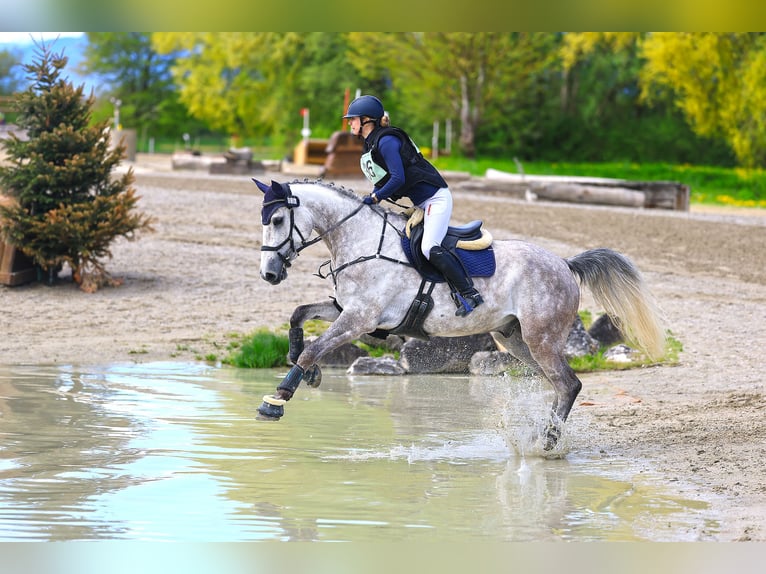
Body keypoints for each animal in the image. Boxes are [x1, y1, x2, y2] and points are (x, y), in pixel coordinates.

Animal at [253, 178, 665, 450]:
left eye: (277, 221)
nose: (269, 274)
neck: (363, 242)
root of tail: (564, 264)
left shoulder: (359, 319)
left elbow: (314, 347)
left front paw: (276, 401)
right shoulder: (347, 311)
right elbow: (298, 317)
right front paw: (310, 372)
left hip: (541, 339)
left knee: (568, 384)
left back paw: (548, 443)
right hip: (515, 339)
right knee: (560, 384)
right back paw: (543, 438)